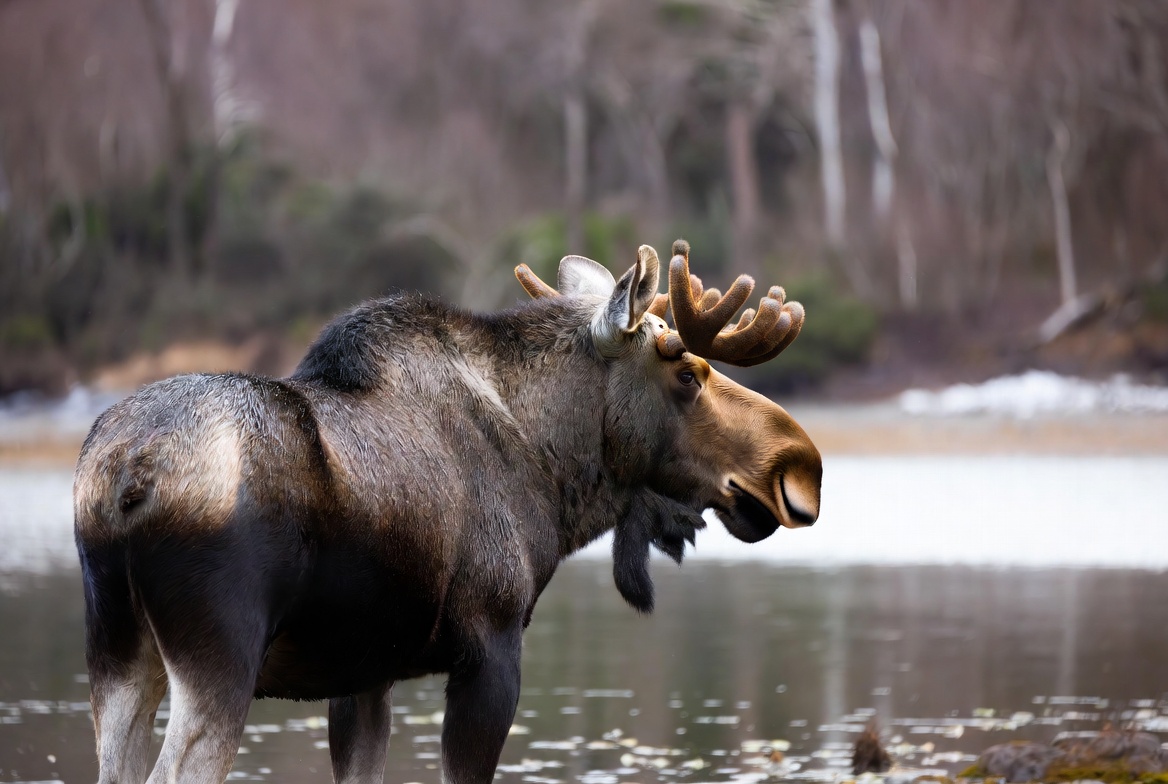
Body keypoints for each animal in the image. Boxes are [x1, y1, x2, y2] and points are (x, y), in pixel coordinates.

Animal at [73, 239, 822, 783]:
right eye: (687, 374)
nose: (800, 466)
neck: (552, 479)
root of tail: (126, 475)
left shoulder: (365, 675)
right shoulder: (490, 651)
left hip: (117, 655)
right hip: (220, 658)